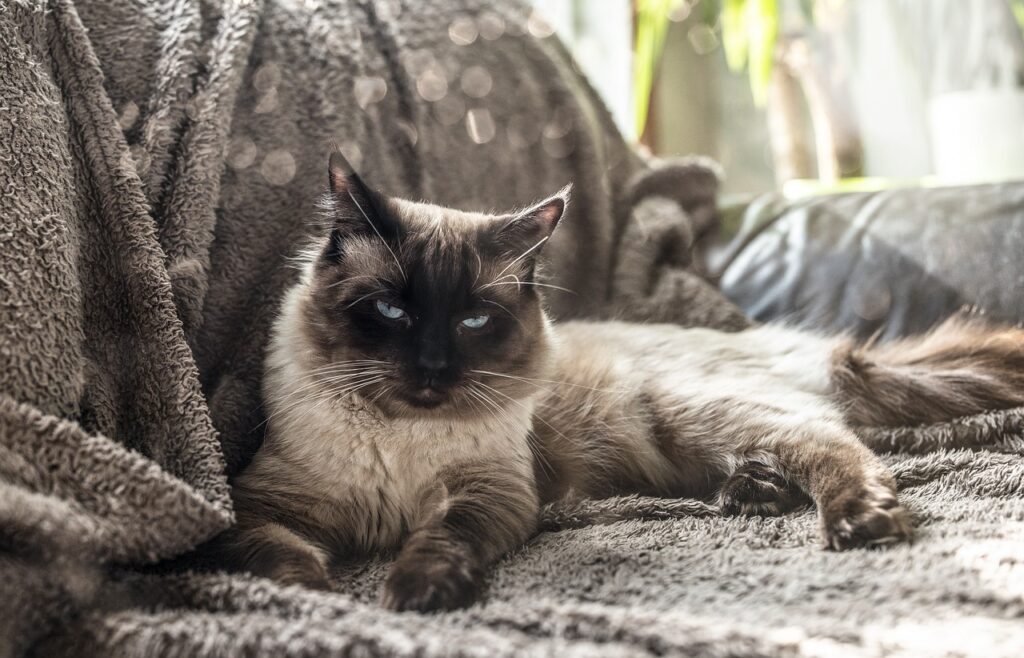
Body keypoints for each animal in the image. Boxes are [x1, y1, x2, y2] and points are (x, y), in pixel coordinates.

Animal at [222, 153, 1024, 613]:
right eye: (391, 311)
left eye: (474, 320)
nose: (432, 370)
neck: (401, 443)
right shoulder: (256, 505)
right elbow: (269, 552)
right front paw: (319, 594)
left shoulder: (488, 494)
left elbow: (440, 538)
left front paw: (412, 594)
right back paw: (753, 493)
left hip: (686, 414)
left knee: (833, 445)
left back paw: (859, 521)